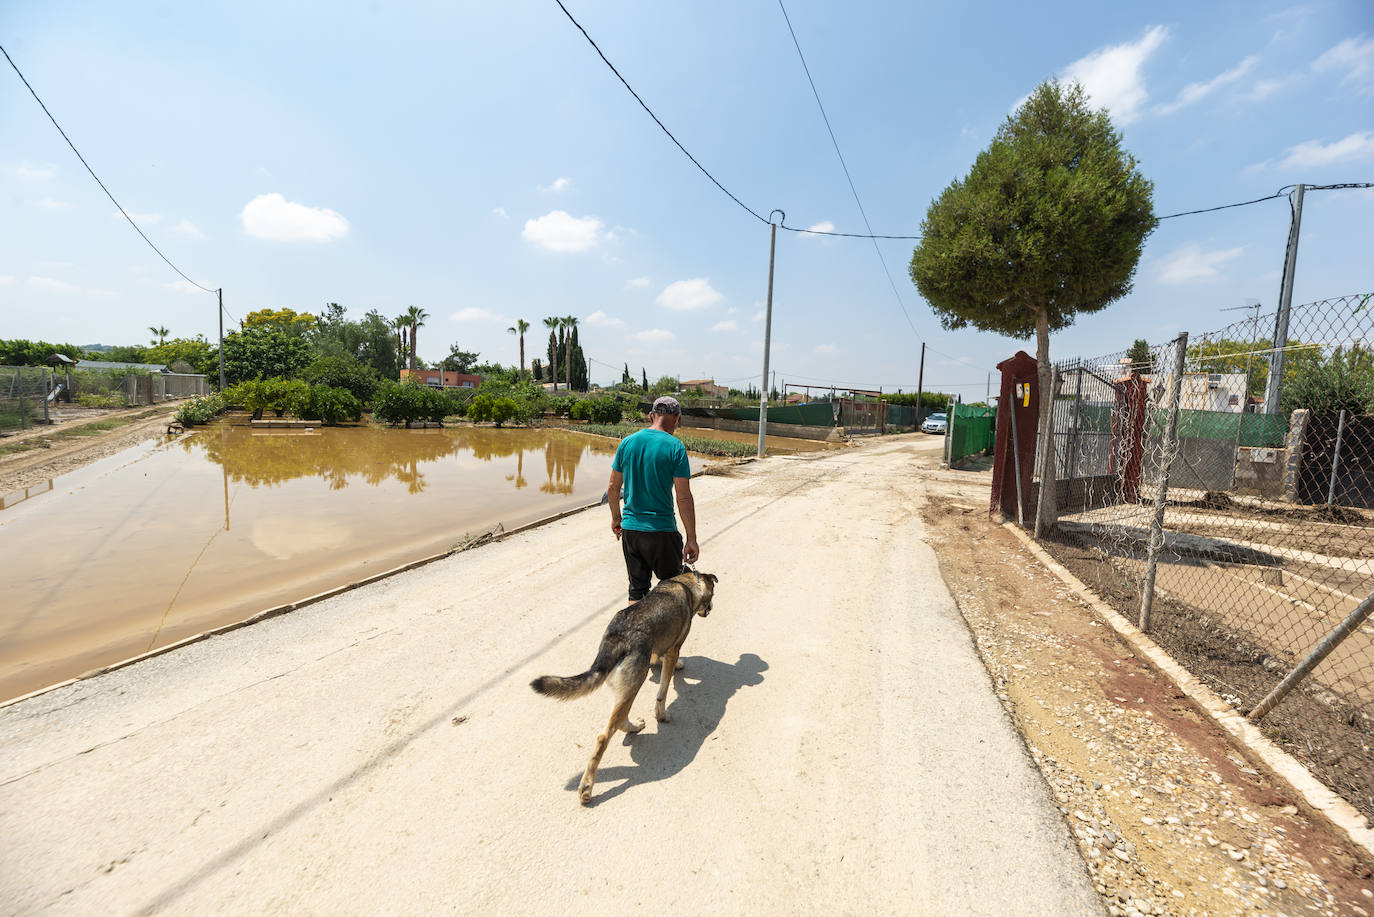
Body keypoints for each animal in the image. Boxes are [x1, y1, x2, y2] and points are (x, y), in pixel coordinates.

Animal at [527, 569, 719, 808]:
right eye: (713, 594)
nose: (711, 609)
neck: (686, 583)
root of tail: (617, 637)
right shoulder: (674, 649)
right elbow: (663, 691)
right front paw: (662, 714)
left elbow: (660, 662)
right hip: (636, 681)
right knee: (605, 734)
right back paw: (587, 788)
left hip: (626, 687)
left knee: (619, 719)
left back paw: (633, 727)